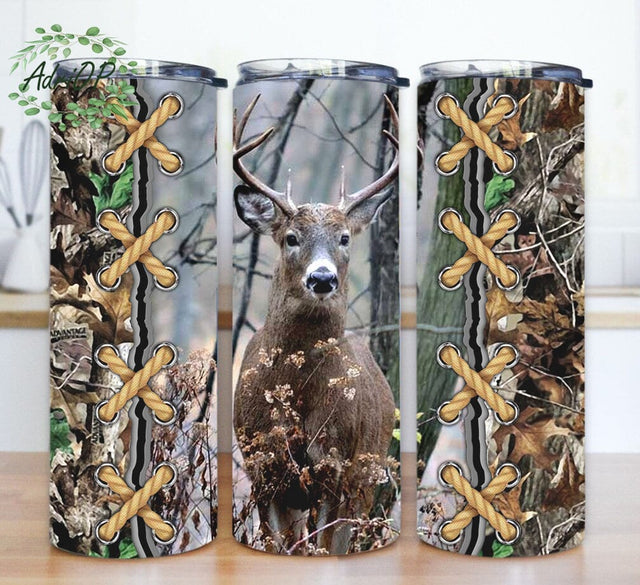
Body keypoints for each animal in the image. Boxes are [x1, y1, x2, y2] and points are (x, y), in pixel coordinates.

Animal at [233, 93, 399, 555]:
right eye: (291, 237)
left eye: (344, 238)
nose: (322, 278)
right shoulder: (262, 468)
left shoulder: (334, 465)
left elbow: (324, 546)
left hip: (367, 477)